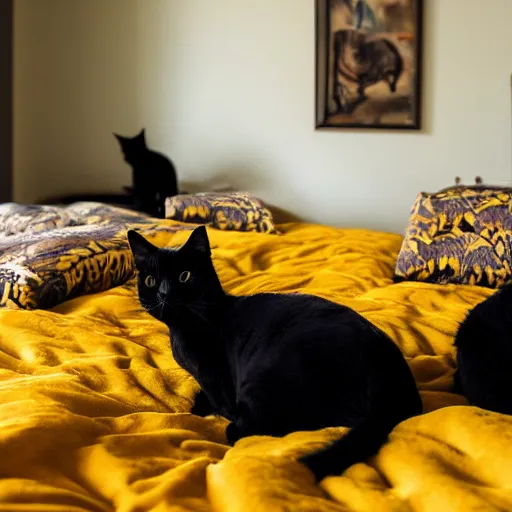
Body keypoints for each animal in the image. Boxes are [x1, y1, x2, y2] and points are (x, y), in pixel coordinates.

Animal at [126, 227, 422, 480]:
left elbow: (218, 404)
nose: (164, 294)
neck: (184, 329)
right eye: (151, 280)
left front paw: (202, 407)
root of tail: (393, 382)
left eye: (184, 276)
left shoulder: (218, 384)